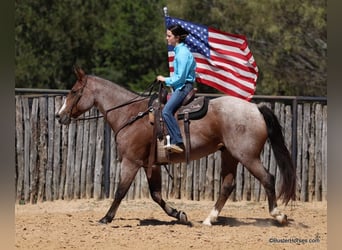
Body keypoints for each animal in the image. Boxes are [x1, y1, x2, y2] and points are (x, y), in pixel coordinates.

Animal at [54, 67, 296, 226]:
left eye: (74, 91)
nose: (59, 116)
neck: (131, 115)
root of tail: (255, 108)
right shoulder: (151, 165)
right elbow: (156, 195)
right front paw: (180, 215)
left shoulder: (130, 162)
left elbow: (121, 190)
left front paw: (106, 217)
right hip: (229, 155)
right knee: (228, 185)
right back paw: (209, 219)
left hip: (248, 156)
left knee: (268, 178)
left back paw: (279, 216)